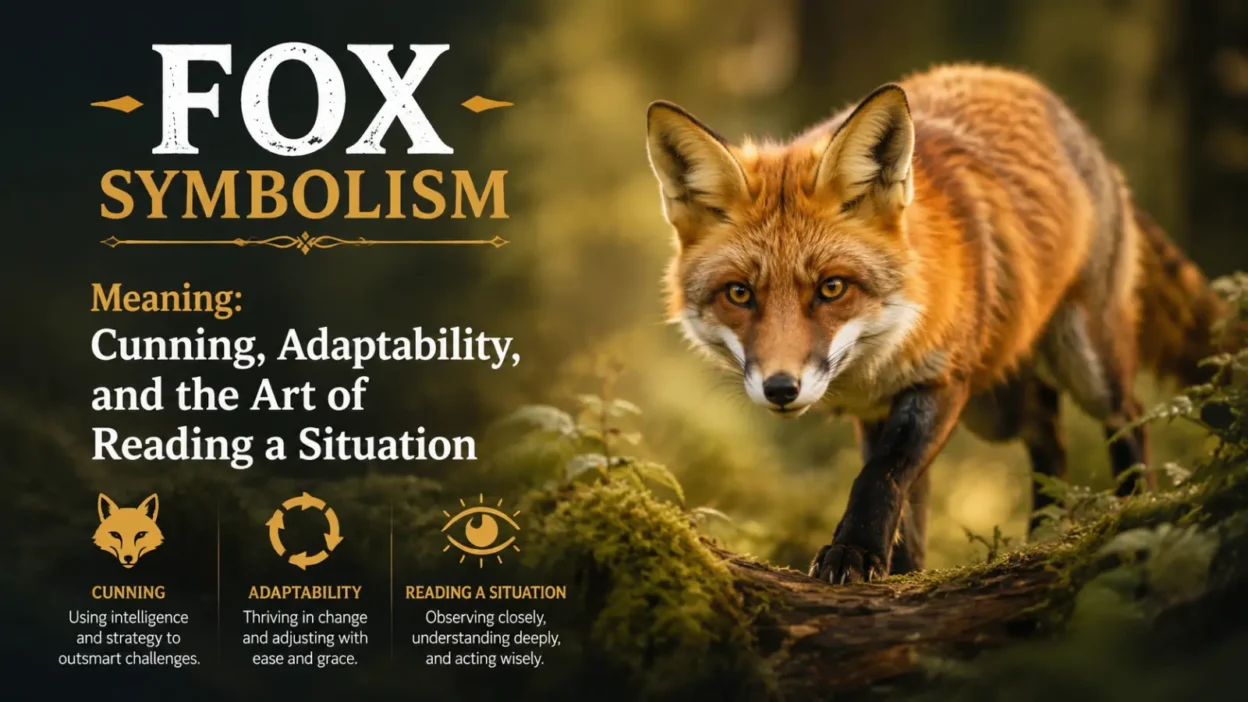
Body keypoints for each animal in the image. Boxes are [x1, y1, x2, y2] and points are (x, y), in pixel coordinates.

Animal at [644, 63, 1238, 585]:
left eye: (832, 288)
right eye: (739, 294)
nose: (781, 388)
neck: (880, 357)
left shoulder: (941, 379)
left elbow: (882, 474)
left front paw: (853, 551)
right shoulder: (876, 411)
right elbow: (905, 503)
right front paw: (900, 572)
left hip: (1083, 361)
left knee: (1129, 416)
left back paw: (1133, 518)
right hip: (1000, 405)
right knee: (1049, 428)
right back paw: (1044, 535)